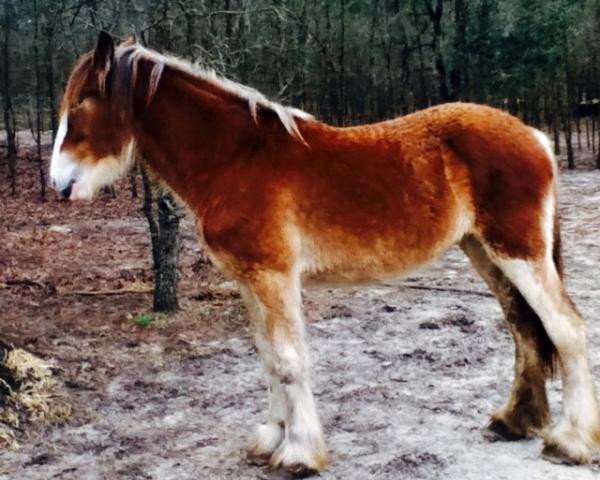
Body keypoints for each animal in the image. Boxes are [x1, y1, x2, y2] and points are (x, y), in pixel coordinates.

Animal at [48, 31, 600, 474]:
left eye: (79, 108)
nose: (58, 185)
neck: (236, 158)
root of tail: (535, 136)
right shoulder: (250, 282)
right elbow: (269, 359)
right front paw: (270, 440)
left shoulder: (274, 277)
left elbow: (291, 361)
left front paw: (299, 454)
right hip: (485, 251)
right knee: (524, 326)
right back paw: (514, 422)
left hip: (518, 251)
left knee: (565, 329)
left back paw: (570, 443)